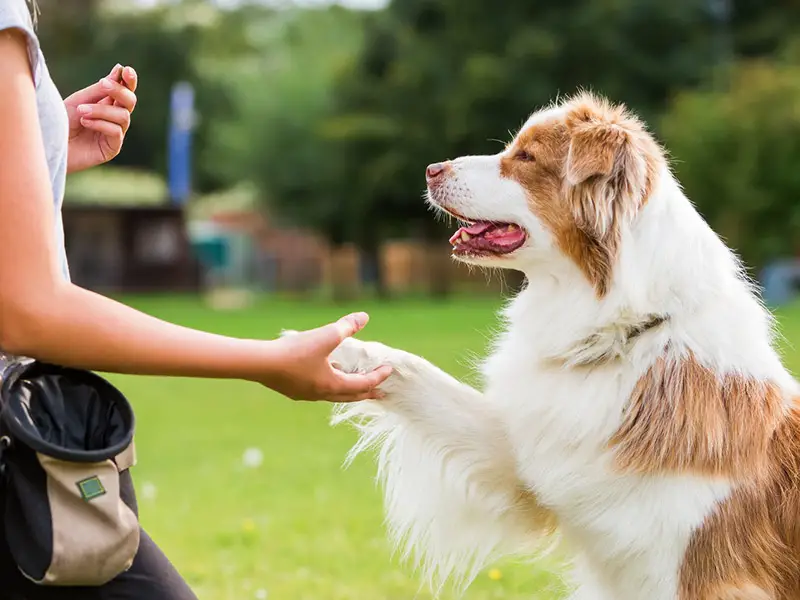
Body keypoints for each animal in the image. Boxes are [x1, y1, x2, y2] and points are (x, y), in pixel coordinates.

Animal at [324, 90, 800, 600]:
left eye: (526, 158)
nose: (432, 169)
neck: (622, 335)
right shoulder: (536, 457)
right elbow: (416, 372)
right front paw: (331, 349)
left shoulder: (703, 573)